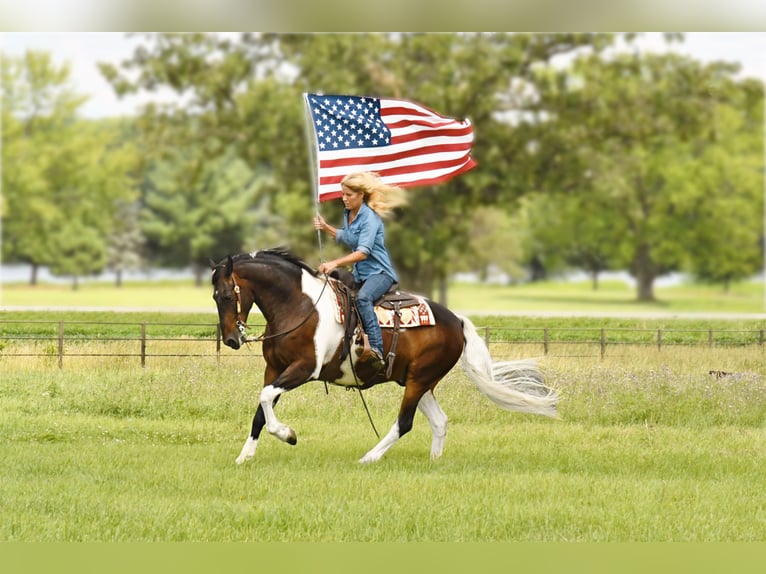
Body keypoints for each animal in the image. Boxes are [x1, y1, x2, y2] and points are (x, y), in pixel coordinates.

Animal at [210, 250, 560, 466]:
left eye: (226, 295)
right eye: (214, 297)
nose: (231, 340)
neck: (299, 305)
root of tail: (457, 320)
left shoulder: (304, 369)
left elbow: (265, 399)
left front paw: (288, 435)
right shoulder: (274, 369)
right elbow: (261, 407)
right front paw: (245, 456)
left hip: (418, 381)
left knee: (404, 423)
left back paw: (369, 458)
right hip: (419, 381)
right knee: (439, 421)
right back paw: (433, 462)